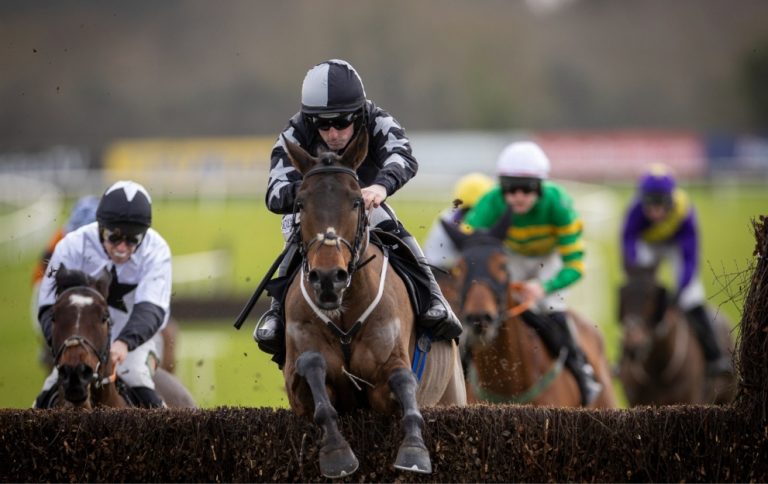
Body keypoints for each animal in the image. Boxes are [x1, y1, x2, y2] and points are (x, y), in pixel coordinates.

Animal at [280, 130, 464, 478]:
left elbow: (405, 384)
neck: (343, 312)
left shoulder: (389, 367)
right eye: (301, 203)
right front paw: (337, 453)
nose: (328, 278)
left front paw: (414, 451)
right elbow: (313, 372)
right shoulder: (298, 380)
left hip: (453, 393)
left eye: (355, 200)